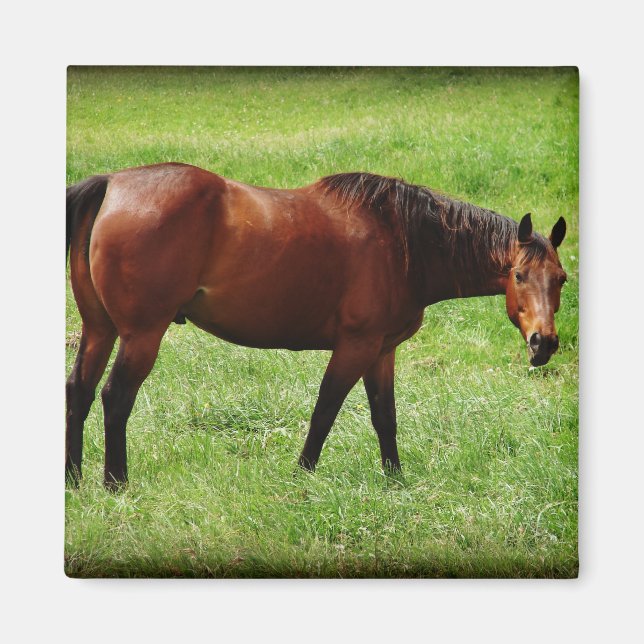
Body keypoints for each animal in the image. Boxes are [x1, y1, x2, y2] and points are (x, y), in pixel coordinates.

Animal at [66, 163, 567, 488]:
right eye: (518, 276)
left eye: (561, 278)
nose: (543, 343)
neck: (402, 240)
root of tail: (113, 184)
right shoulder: (356, 347)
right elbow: (325, 411)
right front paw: (301, 476)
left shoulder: (382, 351)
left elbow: (385, 417)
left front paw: (395, 480)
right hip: (141, 335)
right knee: (116, 397)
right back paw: (115, 483)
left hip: (100, 330)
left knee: (80, 391)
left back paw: (74, 480)